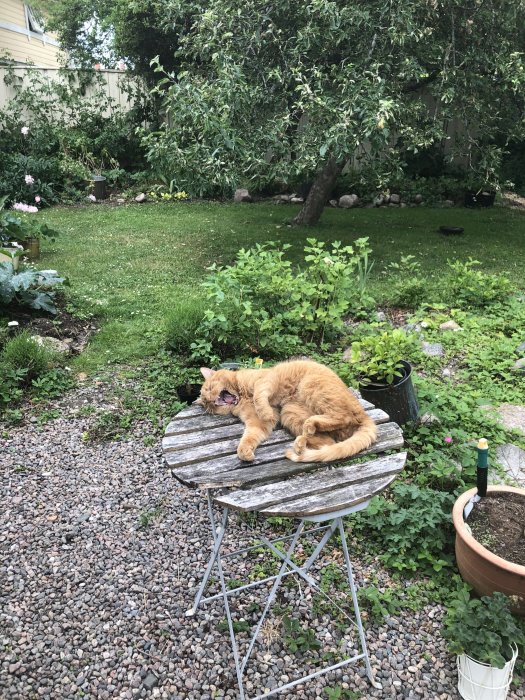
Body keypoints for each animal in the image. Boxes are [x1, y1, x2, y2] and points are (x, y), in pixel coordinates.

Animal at [196, 360, 376, 464]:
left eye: (210, 388)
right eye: (209, 405)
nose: (211, 400)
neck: (242, 395)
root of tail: (365, 416)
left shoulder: (266, 381)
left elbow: (260, 398)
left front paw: (265, 411)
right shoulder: (257, 424)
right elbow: (248, 439)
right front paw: (245, 453)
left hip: (309, 387)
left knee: (344, 417)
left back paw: (309, 428)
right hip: (290, 413)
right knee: (329, 441)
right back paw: (301, 442)